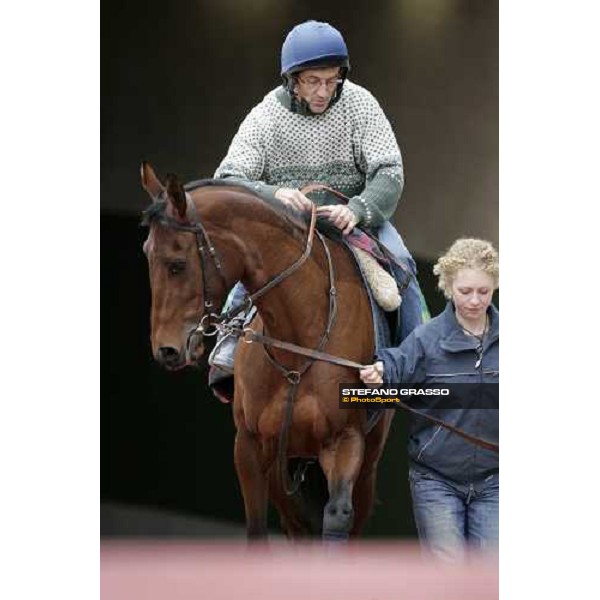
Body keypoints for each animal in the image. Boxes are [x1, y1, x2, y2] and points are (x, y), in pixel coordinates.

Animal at [139, 163, 396, 540]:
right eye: (147, 254)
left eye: (177, 264)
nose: (166, 350)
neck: (299, 342)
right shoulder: (250, 448)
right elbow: (258, 529)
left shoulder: (345, 441)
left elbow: (337, 516)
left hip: (365, 465)